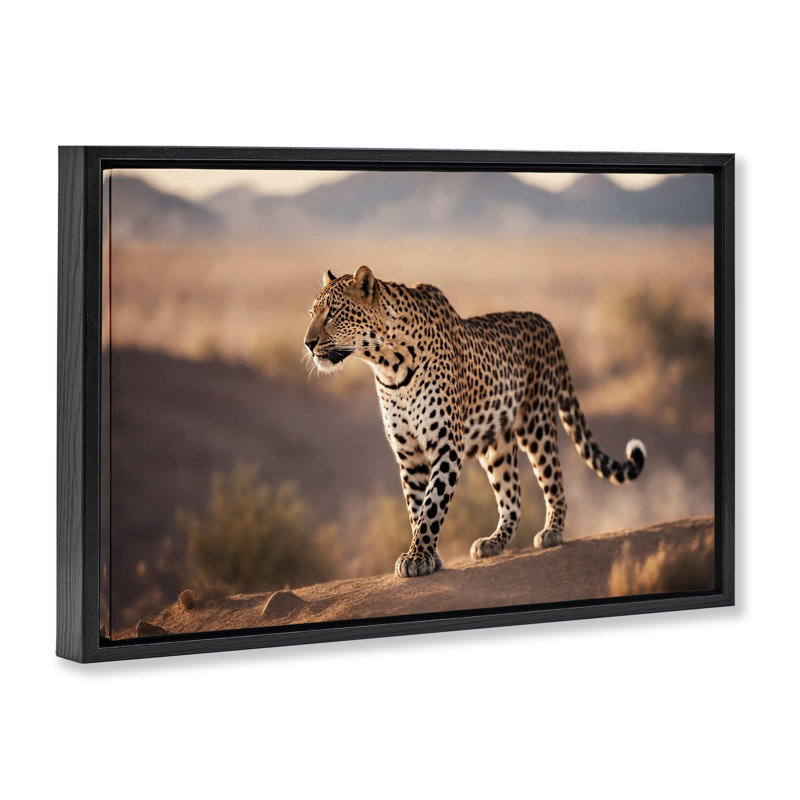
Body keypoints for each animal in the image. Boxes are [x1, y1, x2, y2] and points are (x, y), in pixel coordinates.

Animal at [304, 265, 647, 578]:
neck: (388, 364)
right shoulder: (409, 454)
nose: (308, 343)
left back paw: (553, 532)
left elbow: (432, 504)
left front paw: (418, 558)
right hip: (497, 447)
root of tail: (547, 324)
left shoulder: (445, 446)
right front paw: (427, 556)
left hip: (536, 424)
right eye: (312, 313)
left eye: (333, 313)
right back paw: (493, 542)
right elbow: (416, 506)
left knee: (554, 478)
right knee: (512, 498)